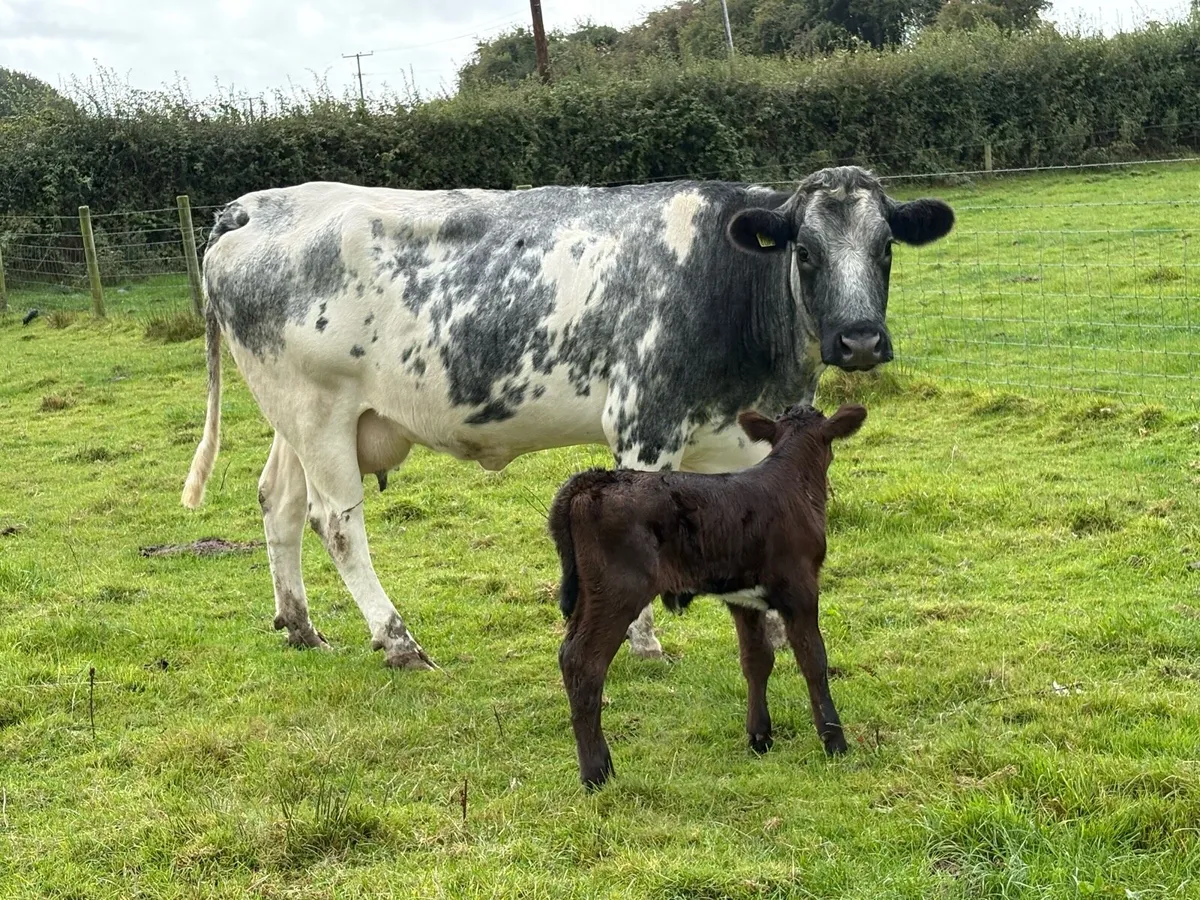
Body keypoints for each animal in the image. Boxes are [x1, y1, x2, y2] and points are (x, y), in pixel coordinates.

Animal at [181, 166, 953, 669]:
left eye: (885, 247)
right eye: (806, 250)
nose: (859, 340)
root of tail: (255, 205)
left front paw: (773, 635)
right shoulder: (643, 421)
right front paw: (645, 644)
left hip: (295, 418)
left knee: (278, 503)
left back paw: (300, 626)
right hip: (317, 411)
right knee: (335, 522)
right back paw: (398, 640)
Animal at [548, 403, 867, 788]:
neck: (791, 483)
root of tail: (592, 480)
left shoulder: (743, 599)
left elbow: (757, 660)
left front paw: (759, 737)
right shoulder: (800, 589)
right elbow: (813, 660)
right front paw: (834, 739)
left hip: (588, 595)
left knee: (569, 654)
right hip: (618, 591)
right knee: (583, 662)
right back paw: (597, 771)